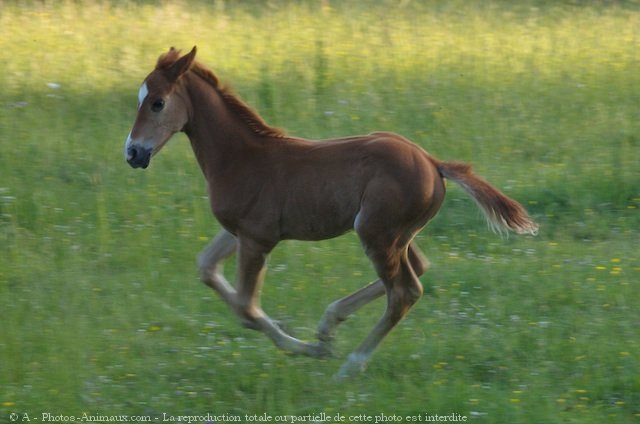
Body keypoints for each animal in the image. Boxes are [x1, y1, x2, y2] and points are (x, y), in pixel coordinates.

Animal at [122, 47, 536, 378]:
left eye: (157, 102)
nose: (133, 153)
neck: (243, 156)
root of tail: (433, 163)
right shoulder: (238, 231)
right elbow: (207, 268)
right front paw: (306, 335)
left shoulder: (257, 239)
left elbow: (245, 306)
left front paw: (306, 348)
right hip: (396, 235)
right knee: (417, 269)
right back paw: (329, 323)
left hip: (376, 234)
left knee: (404, 291)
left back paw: (349, 364)